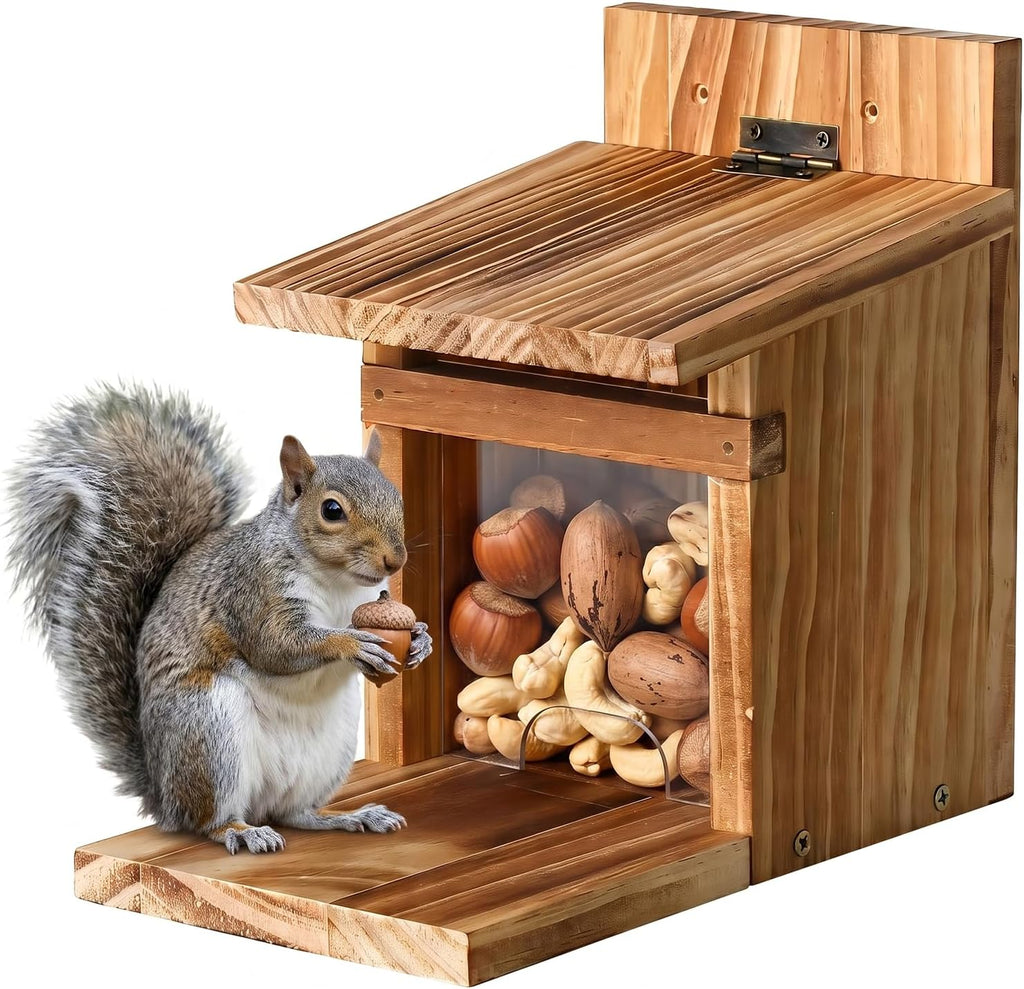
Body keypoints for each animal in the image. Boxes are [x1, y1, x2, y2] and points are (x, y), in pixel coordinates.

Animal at [7, 383, 432, 854]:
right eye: (332, 511)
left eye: (396, 495)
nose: (395, 560)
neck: (338, 581)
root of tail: (163, 795)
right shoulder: (252, 591)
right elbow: (276, 646)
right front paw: (353, 642)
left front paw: (421, 640)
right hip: (207, 730)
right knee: (209, 820)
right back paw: (242, 831)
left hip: (329, 749)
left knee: (296, 814)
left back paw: (351, 817)